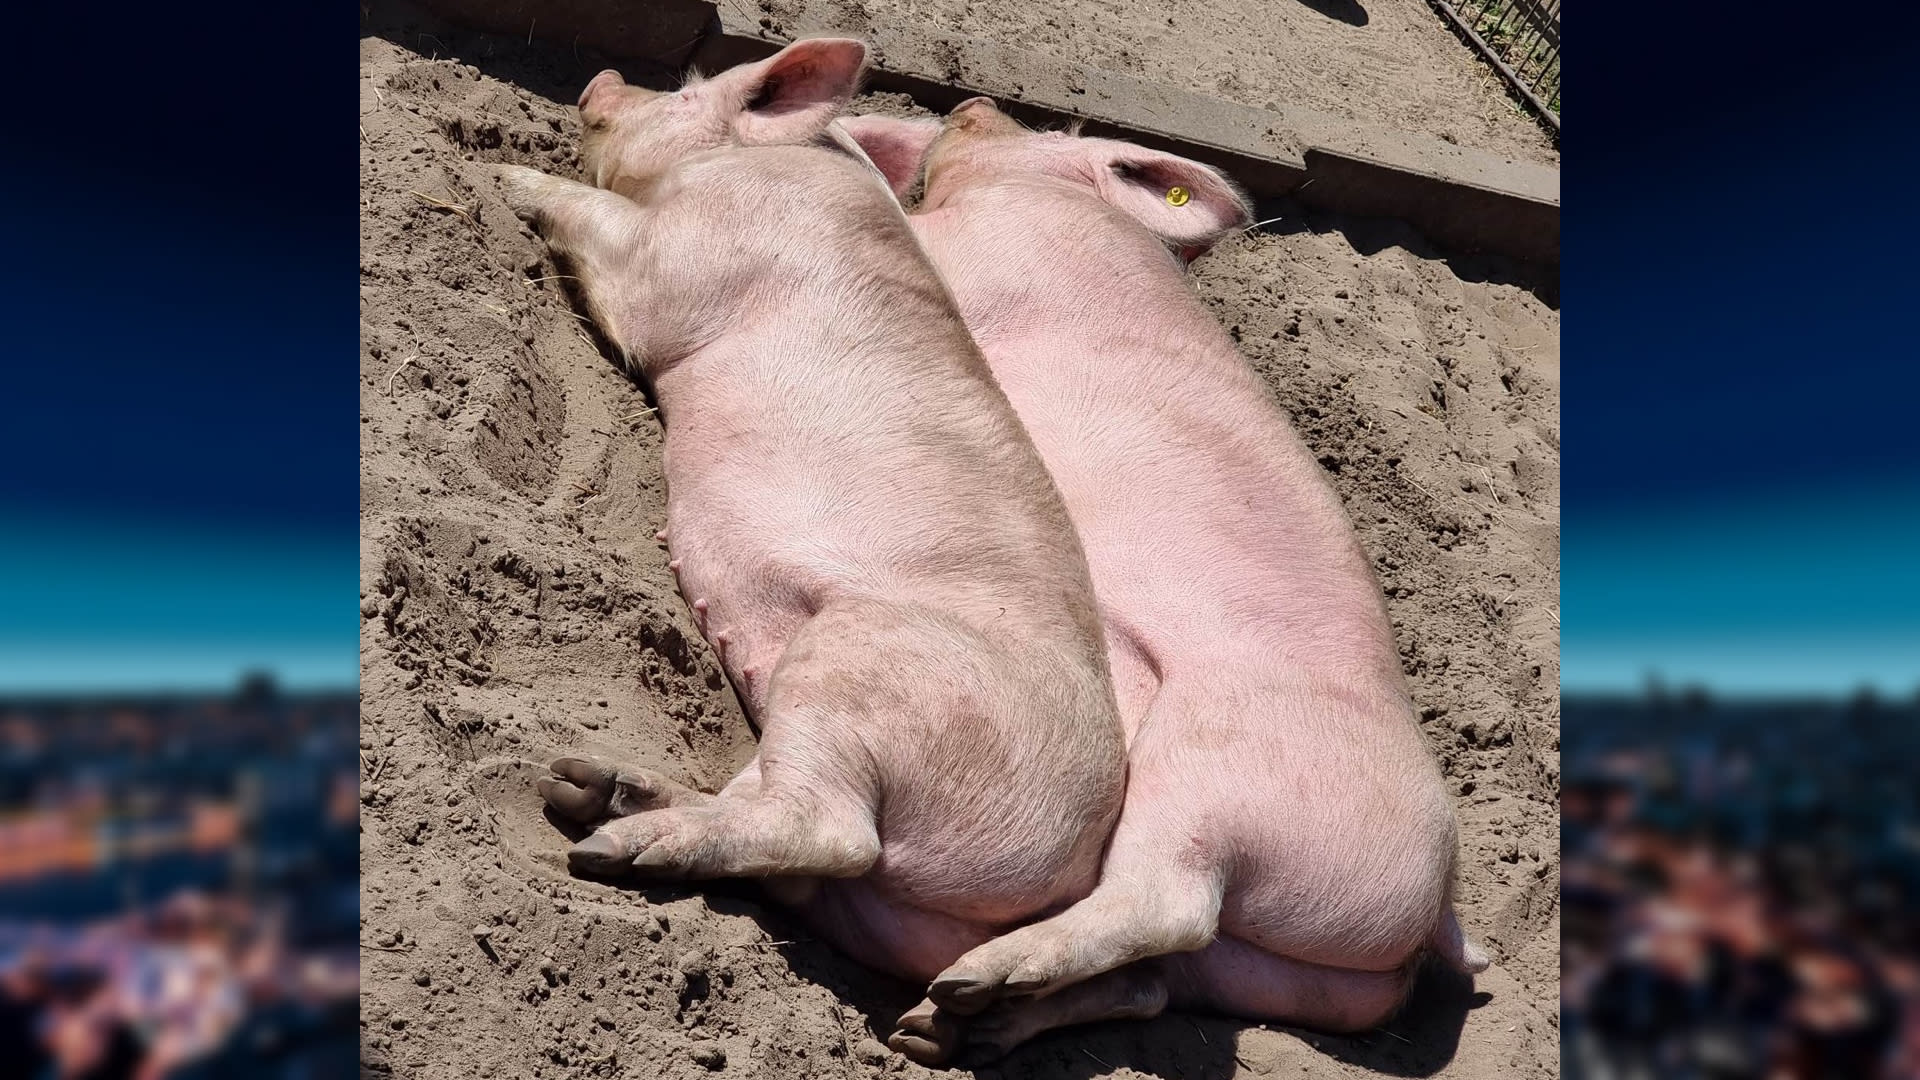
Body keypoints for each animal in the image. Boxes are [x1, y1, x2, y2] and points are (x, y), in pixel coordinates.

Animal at [491, 46, 1121, 980]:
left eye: (685, 92)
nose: (602, 80)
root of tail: (1069, 864)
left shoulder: (679, 259)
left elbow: (602, 233)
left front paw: (503, 176)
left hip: (864, 659)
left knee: (834, 834)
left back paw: (611, 849)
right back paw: (585, 788)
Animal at [848, 102, 1489, 1060]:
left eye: (1056, 131)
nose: (972, 106)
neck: (1061, 203)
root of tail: (1439, 907)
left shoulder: (981, 249)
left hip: (1209, 774)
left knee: (1168, 907)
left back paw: (963, 990)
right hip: (1255, 966)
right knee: (1154, 983)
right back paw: (945, 1030)